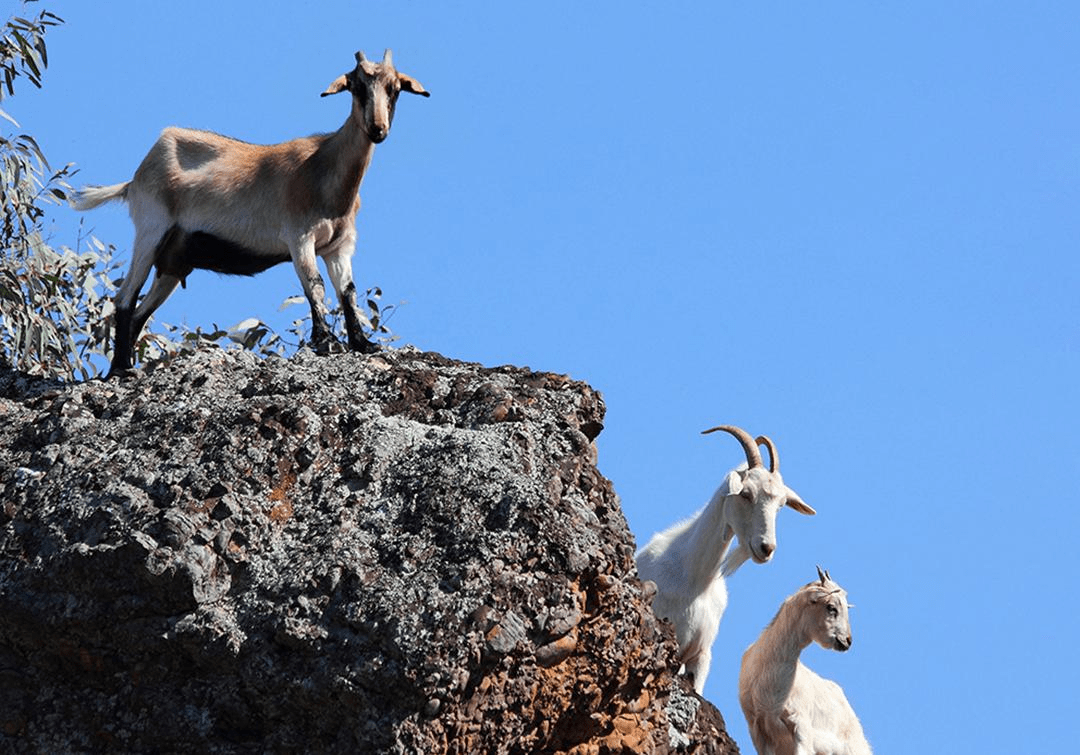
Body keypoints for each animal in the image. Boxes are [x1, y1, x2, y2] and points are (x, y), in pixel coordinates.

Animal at [73, 49, 427, 375]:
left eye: (395, 88)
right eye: (356, 86)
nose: (377, 129)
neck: (323, 169)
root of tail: (134, 180)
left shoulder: (340, 246)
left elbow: (348, 292)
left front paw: (363, 344)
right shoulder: (299, 237)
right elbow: (314, 285)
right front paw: (326, 342)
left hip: (174, 263)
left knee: (140, 312)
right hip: (151, 228)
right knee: (124, 297)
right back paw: (121, 369)